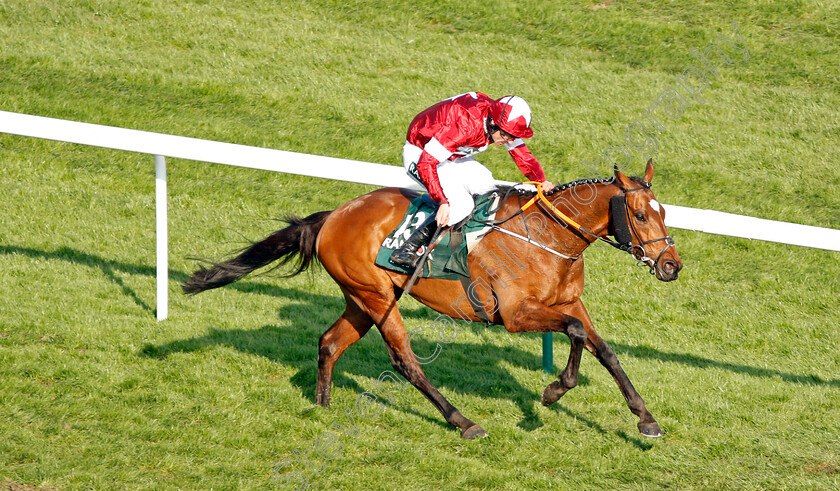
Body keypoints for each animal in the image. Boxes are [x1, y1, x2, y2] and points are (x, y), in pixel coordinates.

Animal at [184, 160, 684, 440]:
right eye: (640, 215)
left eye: (664, 212)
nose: (671, 265)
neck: (548, 237)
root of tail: (334, 215)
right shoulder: (517, 314)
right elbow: (578, 336)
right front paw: (554, 389)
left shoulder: (569, 304)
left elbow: (607, 351)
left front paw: (645, 419)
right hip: (375, 297)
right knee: (405, 360)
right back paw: (463, 422)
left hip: (364, 299)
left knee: (330, 342)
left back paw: (321, 406)